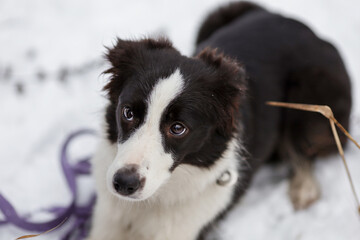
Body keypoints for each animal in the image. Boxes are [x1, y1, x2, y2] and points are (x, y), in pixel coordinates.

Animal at [87, 1, 352, 240]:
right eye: (128, 113)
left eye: (178, 128)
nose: (124, 183)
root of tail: (295, 23)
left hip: (308, 94)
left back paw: (304, 190)